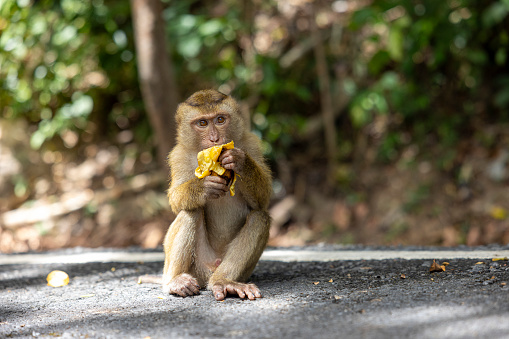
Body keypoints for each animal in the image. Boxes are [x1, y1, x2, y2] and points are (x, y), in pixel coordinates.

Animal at [138, 89, 274, 302]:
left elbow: (262, 201)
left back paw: (224, 282)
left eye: (220, 119)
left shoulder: (251, 143)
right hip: (197, 266)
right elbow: (175, 200)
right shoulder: (178, 155)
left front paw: (239, 161)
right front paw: (203, 187)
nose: (214, 139)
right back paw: (174, 282)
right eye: (202, 123)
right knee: (190, 211)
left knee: (260, 218)